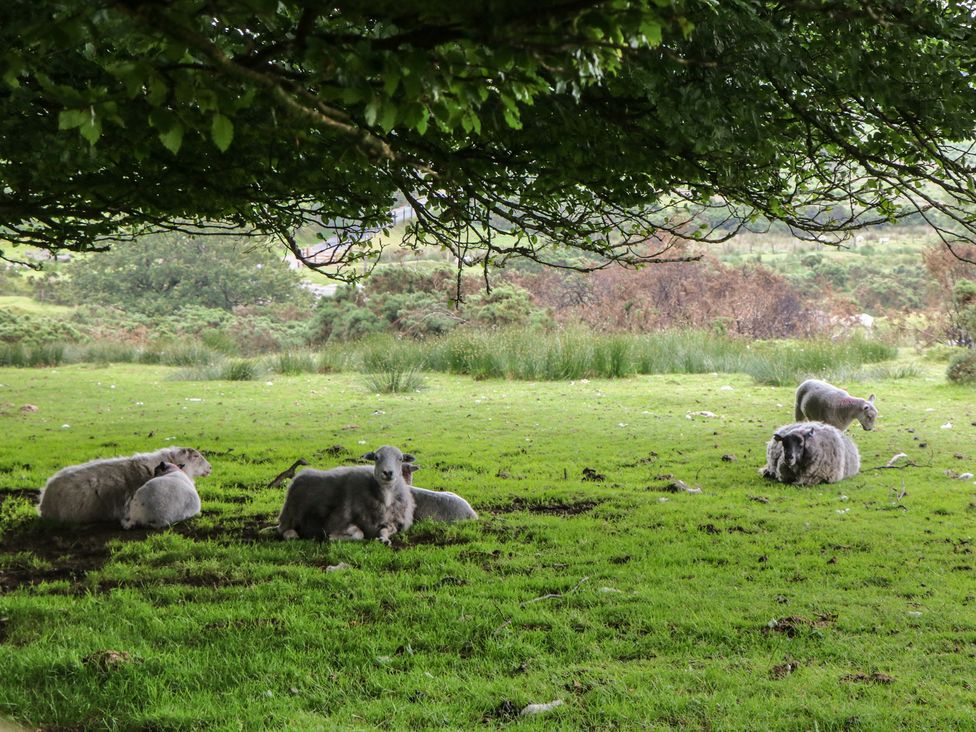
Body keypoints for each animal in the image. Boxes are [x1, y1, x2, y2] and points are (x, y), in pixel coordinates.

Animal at [276, 445, 415, 544]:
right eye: (376, 458)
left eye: (400, 459)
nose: (388, 473)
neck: (385, 498)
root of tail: (298, 477)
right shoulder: (339, 521)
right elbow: (359, 534)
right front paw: (333, 537)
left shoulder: (393, 523)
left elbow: (386, 530)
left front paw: (384, 539)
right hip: (292, 515)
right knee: (284, 530)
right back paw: (292, 535)